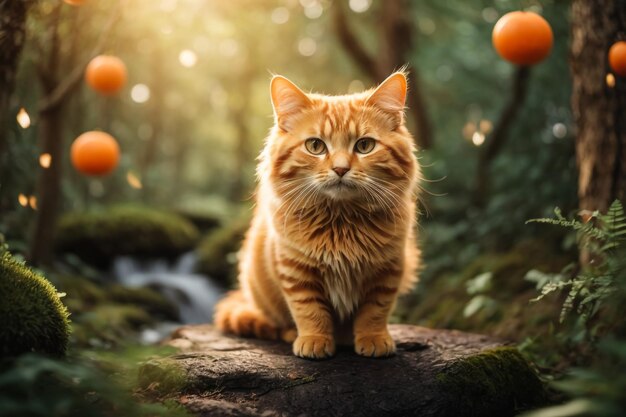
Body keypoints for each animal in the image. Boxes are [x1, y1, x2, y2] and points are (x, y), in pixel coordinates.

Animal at [213, 70, 420, 358]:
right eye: (315, 146)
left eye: (364, 146)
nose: (341, 169)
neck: (342, 222)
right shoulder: (296, 271)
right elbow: (310, 312)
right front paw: (314, 340)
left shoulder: (388, 270)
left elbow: (375, 312)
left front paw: (373, 338)